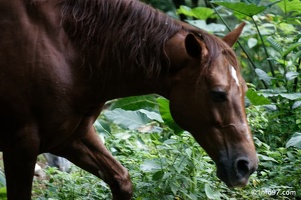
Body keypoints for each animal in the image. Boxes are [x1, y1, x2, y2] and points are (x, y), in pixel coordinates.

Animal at [0, 0, 258, 199]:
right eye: (217, 93)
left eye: (244, 90)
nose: (247, 166)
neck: (62, 48)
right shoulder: (22, 144)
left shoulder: (67, 137)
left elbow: (122, 180)